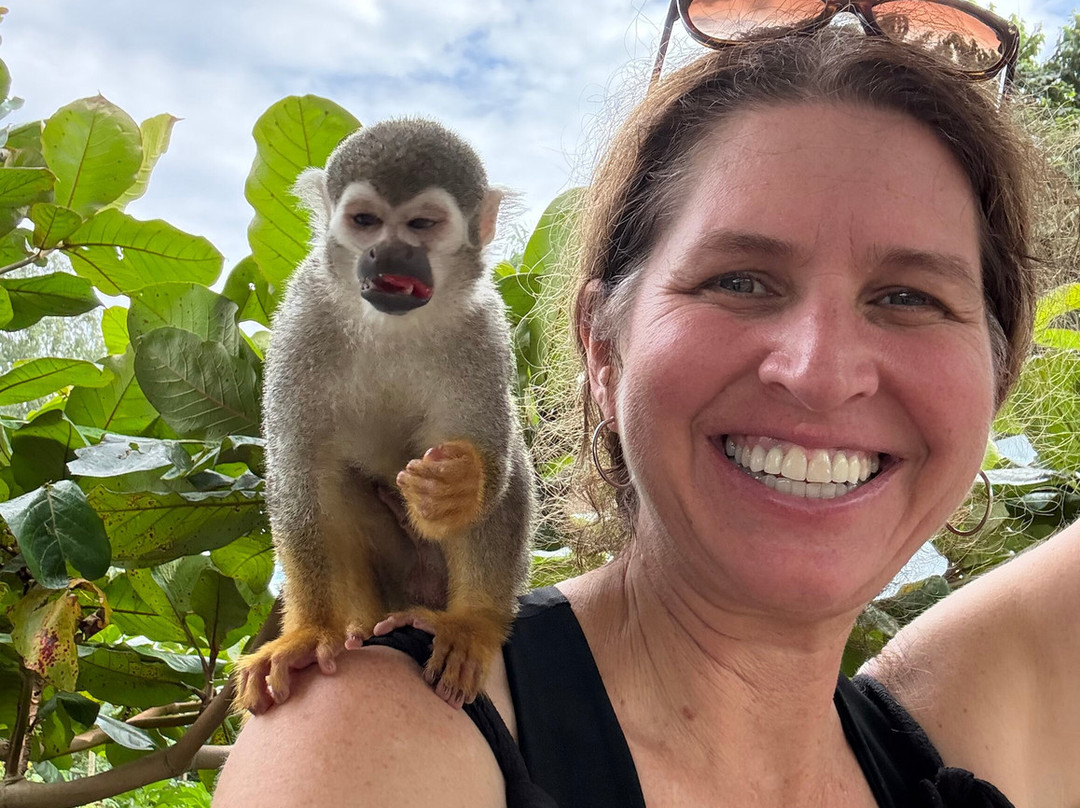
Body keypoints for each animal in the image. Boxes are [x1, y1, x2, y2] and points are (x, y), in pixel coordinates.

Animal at [233, 119, 534, 714]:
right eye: (365, 221)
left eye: (422, 225)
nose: (387, 254)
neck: (391, 326)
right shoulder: (302, 317)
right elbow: (302, 480)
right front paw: (308, 635)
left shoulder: (484, 328)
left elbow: (492, 464)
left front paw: (457, 485)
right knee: (335, 482)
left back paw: (473, 623)